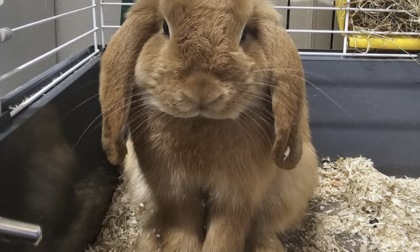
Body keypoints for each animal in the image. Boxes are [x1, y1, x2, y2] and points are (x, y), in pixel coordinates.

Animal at [99, 0, 318, 251]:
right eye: (165, 28)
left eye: (245, 33)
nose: (202, 88)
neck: (201, 121)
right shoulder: (174, 190)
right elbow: (182, 223)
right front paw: (179, 248)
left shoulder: (238, 195)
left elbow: (226, 230)